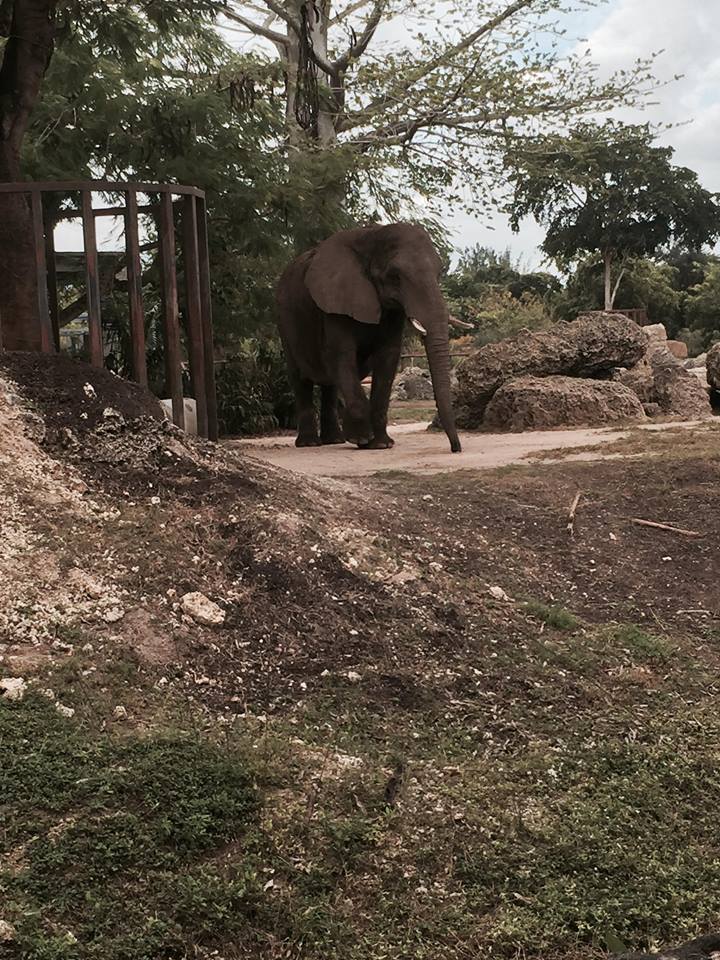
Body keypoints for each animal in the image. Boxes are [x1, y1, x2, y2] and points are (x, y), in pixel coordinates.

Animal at [276, 222, 462, 453]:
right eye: (394, 276)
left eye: (439, 273)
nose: (455, 448)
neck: (372, 235)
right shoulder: (336, 300)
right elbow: (341, 354)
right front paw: (361, 439)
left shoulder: (392, 311)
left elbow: (388, 357)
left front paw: (381, 445)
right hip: (284, 319)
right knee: (300, 377)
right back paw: (309, 443)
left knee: (329, 385)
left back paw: (334, 440)